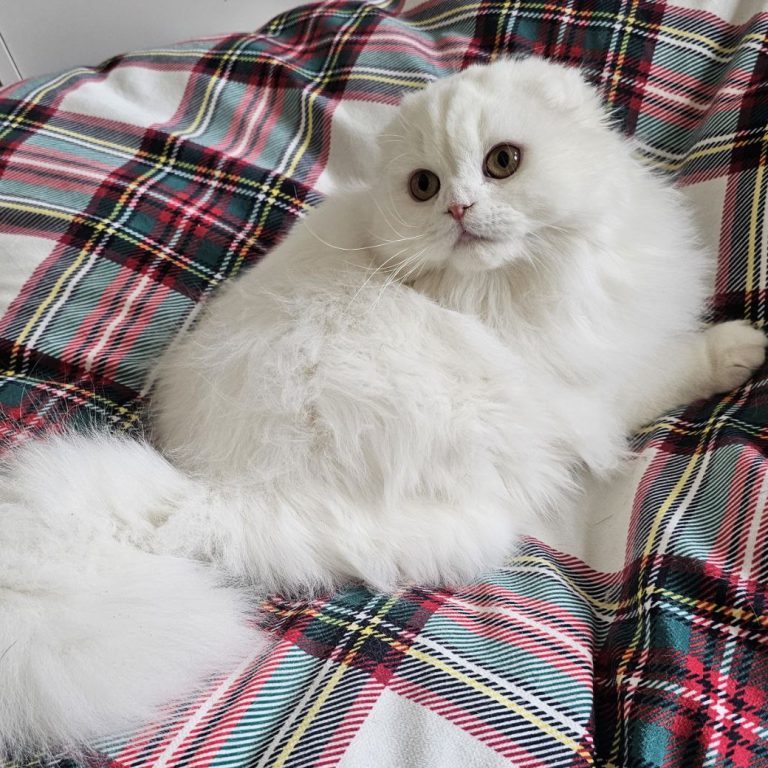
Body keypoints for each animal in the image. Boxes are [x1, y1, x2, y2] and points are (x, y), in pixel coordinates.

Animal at [0, 58, 760, 756]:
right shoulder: (594, 389)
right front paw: (740, 347)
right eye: (424, 186)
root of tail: (213, 493)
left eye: (503, 162)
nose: (457, 209)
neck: (510, 285)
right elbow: (669, 368)